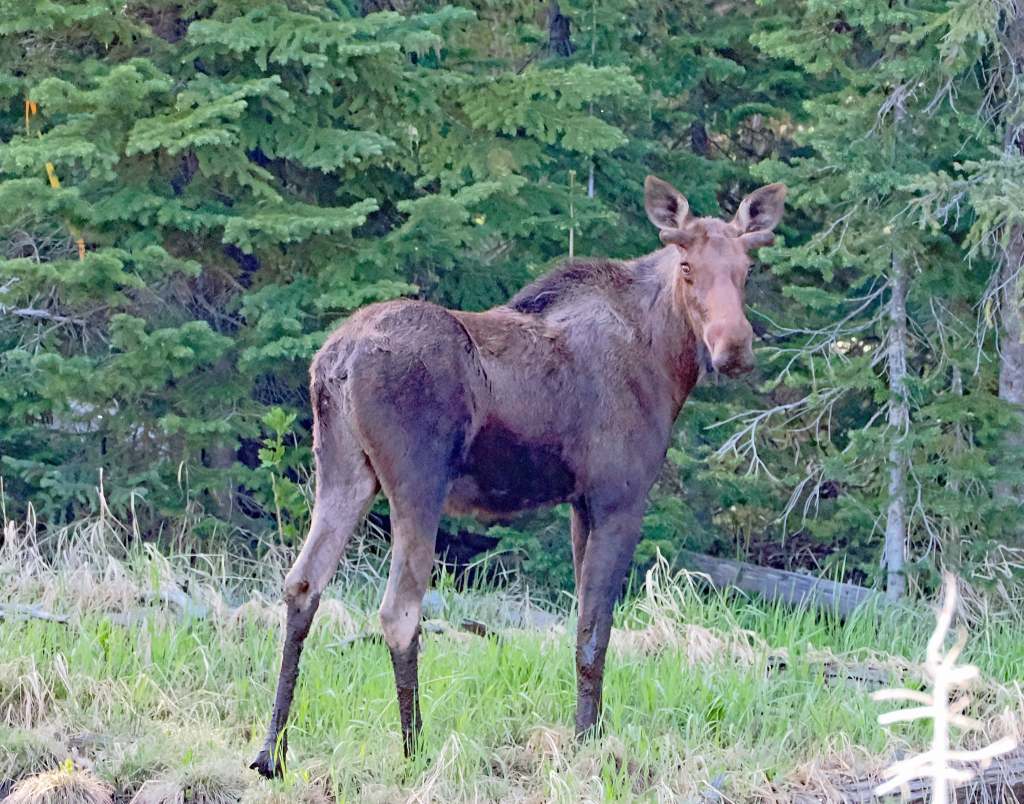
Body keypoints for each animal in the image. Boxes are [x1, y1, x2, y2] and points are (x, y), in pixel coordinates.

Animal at [250, 175, 786, 777]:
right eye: (688, 265)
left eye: (746, 268)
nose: (733, 346)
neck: (667, 364)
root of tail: (334, 364)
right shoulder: (620, 495)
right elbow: (595, 631)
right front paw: (587, 741)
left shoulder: (581, 502)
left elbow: (583, 625)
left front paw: (589, 733)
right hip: (416, 482)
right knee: (399, 609)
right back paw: (415, 751)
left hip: (343, 469)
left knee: (302, 583)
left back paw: (272, 752)